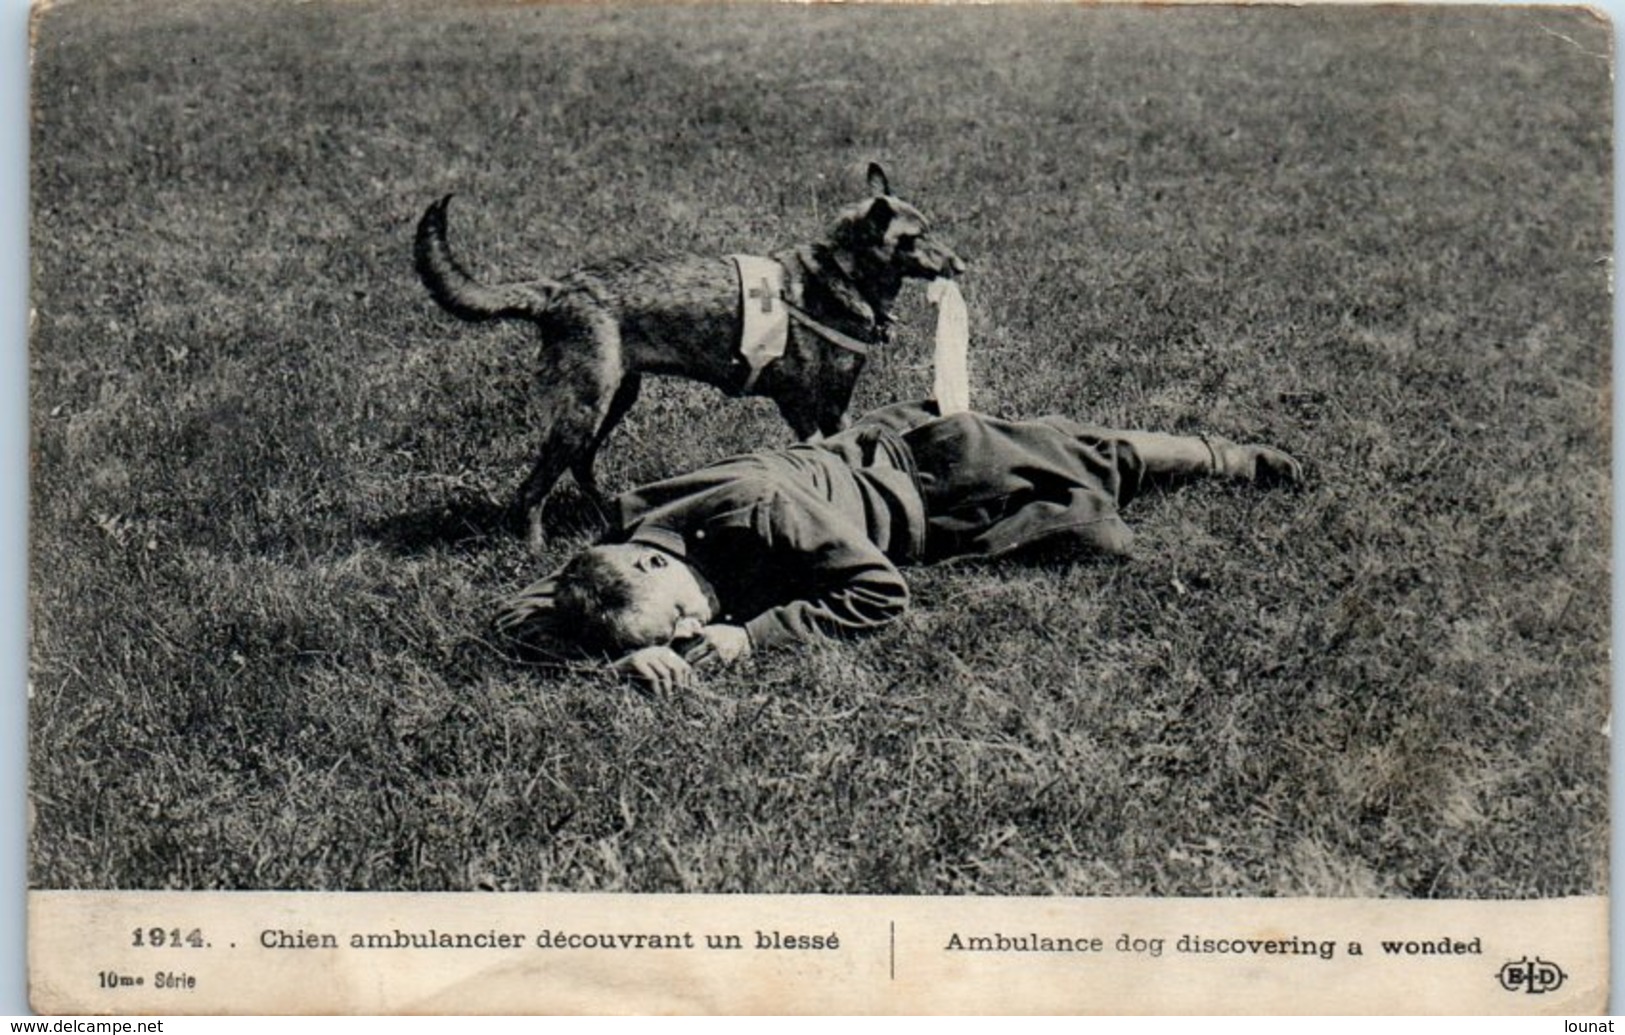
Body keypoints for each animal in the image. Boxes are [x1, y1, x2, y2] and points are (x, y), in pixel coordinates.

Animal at [412, 165, 962, 545]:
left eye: (931, 229)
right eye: (912, 239)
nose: (959, 265)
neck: (840, 275)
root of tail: (558, 290)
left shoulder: (836, 407)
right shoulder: (799, 404)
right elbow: (819, 455)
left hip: (612, 402)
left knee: (581, 466)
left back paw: (606, 514)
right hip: (582, 409)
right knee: (532, 490)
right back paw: (535, 548)